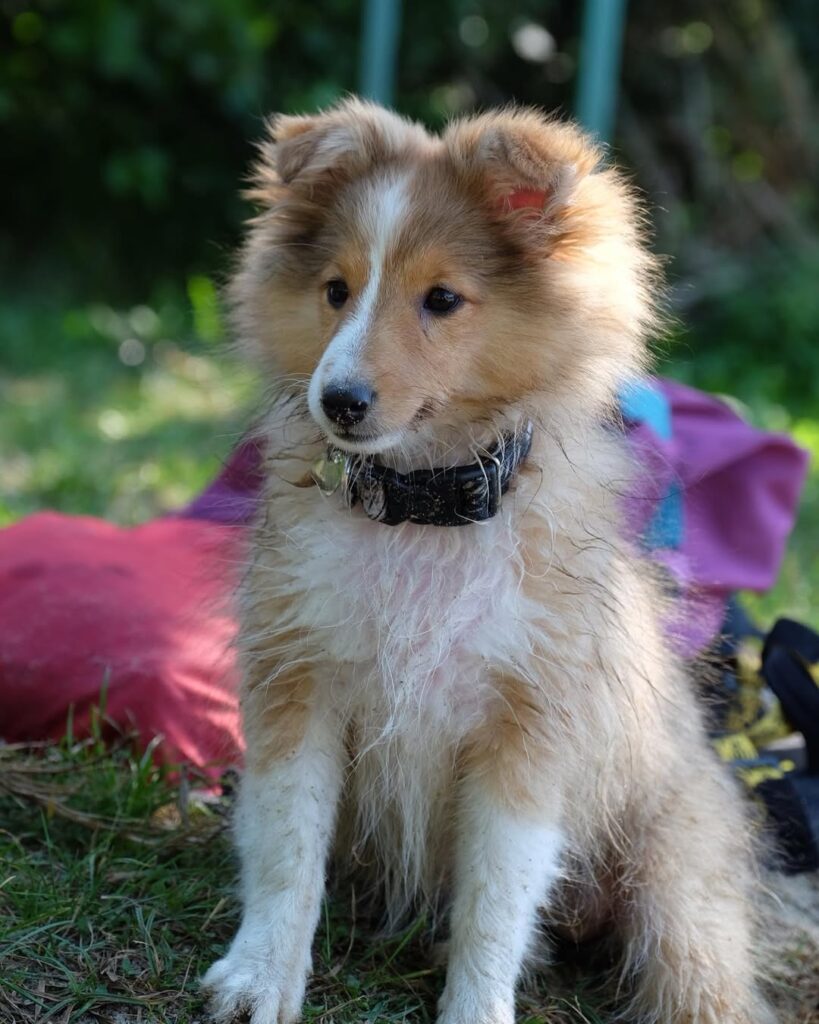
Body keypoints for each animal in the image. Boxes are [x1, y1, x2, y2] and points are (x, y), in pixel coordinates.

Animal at [201, 97, 769, 1024]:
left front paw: (476, 1006)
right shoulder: (299, 681)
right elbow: (287, 850)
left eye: (442, 299)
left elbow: (496, 899)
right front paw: (259, 976)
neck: (421, 515)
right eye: (335, 291)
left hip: (677, 889)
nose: (338, 401)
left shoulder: (525, 730)